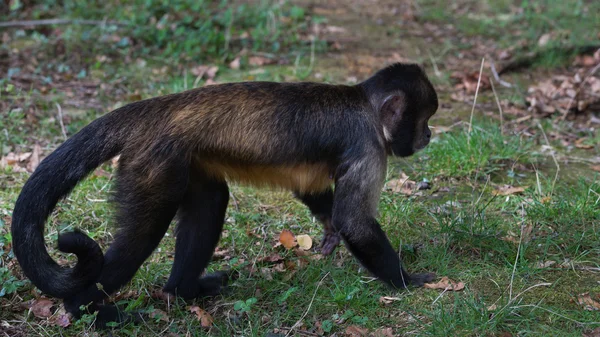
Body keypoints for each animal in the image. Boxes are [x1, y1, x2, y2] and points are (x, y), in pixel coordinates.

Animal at [11, 62, 438, 326]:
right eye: (424, 119)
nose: (430, 134)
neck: (365, 106)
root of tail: (154, 109)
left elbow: (313, 189)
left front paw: (330, 230)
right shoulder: (369, 144)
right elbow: (355, 222)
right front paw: (407, 281)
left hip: (184, 161)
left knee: (210, 201)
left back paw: (183, 291)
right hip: (153, 163)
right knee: (140, 237)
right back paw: (88, 310)